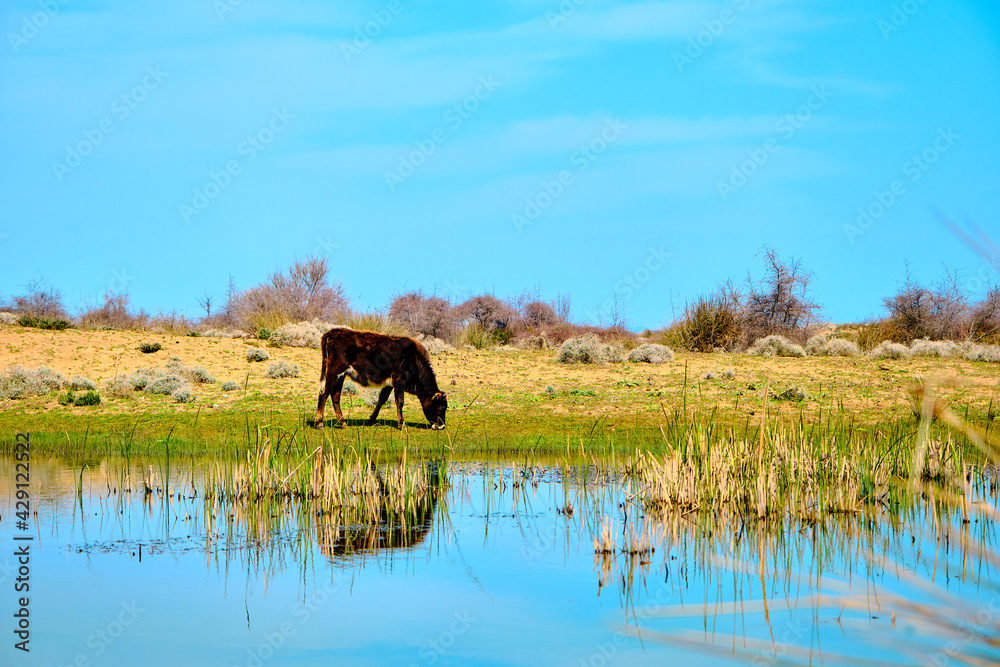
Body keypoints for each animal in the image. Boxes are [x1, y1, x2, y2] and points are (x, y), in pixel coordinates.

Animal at [314, 328, 448, 430]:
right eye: (442, 407)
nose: (442, 426)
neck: (412, 359)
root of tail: (333, 332)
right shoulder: (400, 381)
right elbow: (400, 402)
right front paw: (402, 425)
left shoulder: (389, 384)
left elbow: (382, 399)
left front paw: (372, 420)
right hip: (334, 372)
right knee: (324, 394)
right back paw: (320, 423)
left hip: (341, 375)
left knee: (335, 396)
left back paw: (342, 423)